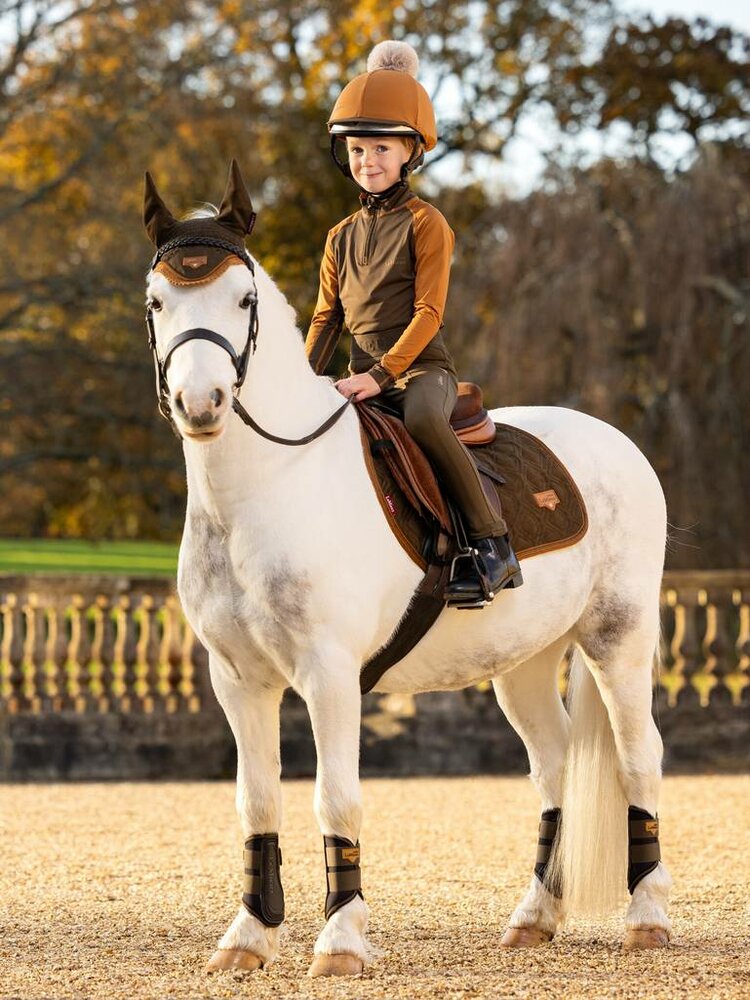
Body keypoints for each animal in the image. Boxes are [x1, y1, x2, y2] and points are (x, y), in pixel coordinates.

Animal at [142, 162, 672, 977]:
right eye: (156, 301)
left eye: (243, 299)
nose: (202, 403)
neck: (265, 488)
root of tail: (615, 440)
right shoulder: (237, 679)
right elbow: (257, 802)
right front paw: (247, 938)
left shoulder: (328, 674)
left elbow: (336, 797)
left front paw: (340, 942)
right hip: (523, 661)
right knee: (554, 766)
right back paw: (534, 918)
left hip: (619, 639)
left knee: (639, 759)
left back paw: (647, 919)